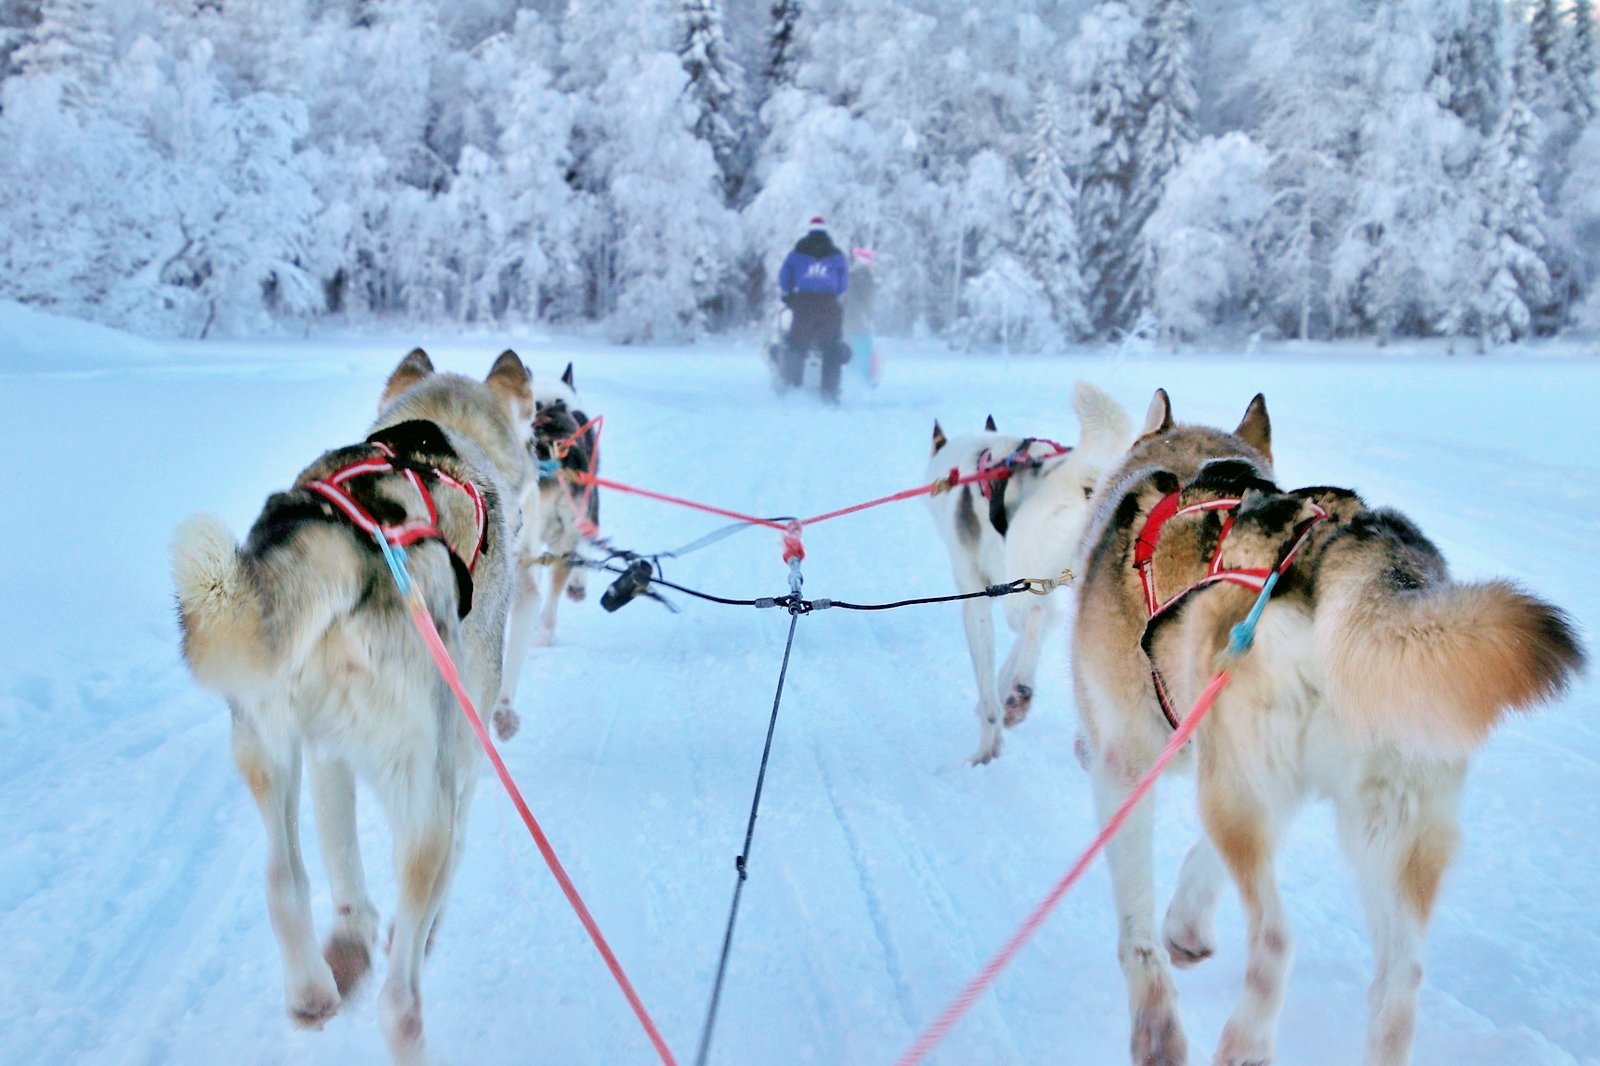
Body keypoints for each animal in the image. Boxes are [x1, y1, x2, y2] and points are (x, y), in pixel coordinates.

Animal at [171, 350, 537, 1062]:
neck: (440, 437)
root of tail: (348, 543)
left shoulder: (325, 756)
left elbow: (338, 861)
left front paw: (350, 938)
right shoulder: (461, 767)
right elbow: (450, 862)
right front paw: (416, 933)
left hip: (265, 745)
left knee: (284, 882)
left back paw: (314, 988)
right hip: (422, 792)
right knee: (401, 1002)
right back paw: (399, 1004)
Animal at [928, 377, 1139, 758]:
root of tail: (1084, 476)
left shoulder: (979, 597)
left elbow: (989, 677)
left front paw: (988, 743)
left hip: (1026, 577)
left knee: (1036, 616)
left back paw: (1020, 695)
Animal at [1068, 388, 1580, 1062]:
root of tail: (1344, 558)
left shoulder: (1129, 769)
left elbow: (1138, 929)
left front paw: (1156, 1025)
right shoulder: (1246, 776)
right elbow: (1200, 863)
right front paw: (1186, 923)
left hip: (1240, 796)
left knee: (1276, 940)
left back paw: (1245, 1041)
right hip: (1383, 827)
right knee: (1400, 981)